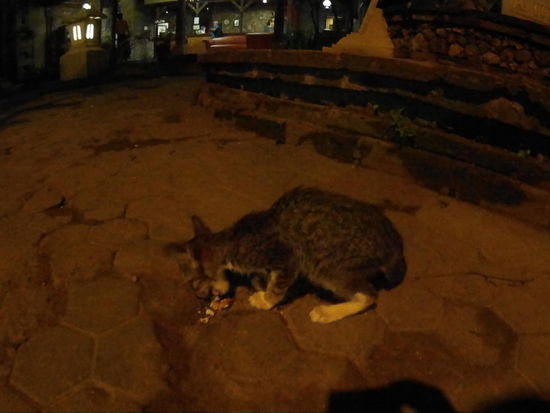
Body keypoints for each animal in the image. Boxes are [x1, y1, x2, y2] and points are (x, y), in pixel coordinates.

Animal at [179, 187, 406, 323]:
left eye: (194, 282)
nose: (198, 296)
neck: (233, 240)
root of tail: (394, 243)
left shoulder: (288, 258)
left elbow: (278, 286)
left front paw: (266, 299)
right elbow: (264, 278)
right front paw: (261, 282)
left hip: (330, 268)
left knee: (369, 295)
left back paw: (328, 312)